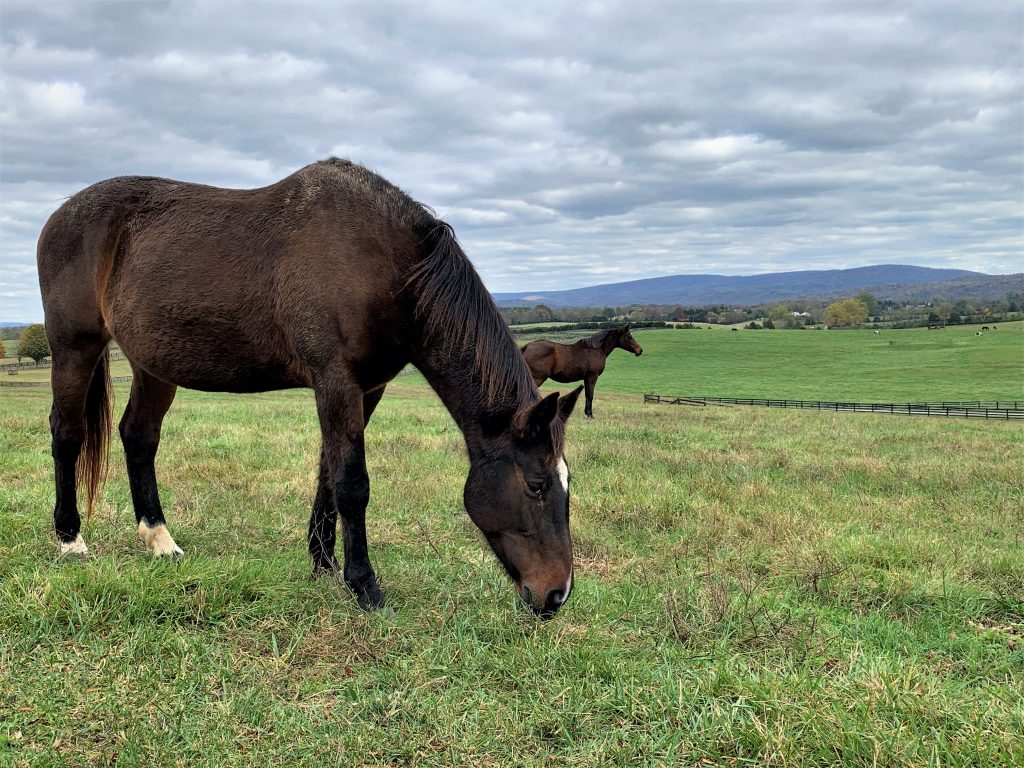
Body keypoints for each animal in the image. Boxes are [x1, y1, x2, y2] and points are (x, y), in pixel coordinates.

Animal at [37, 159, 585, 622]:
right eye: (537, 485)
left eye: (566, 482)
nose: (556, 595)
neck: (387, 267)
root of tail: (60, 215)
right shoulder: (336, 380)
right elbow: (353, 483)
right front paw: (365, 586)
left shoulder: (366, 388)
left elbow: (328, 473)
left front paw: (323, 563)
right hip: (74, 348)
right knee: (67, 433)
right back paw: (70, 539)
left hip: (154, 366)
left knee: (139, 437)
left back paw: (159, 539)